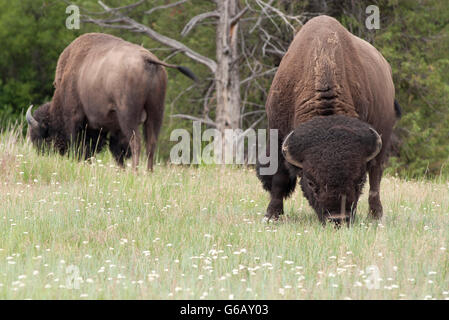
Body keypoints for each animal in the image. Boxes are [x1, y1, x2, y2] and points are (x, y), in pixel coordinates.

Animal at [26, 33, 196, 170]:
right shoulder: (112, 128)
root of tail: (148, 60)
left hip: (129, 116)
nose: (41, 154)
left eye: (40, 136)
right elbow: (116, 150)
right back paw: (148, 173)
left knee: (136, 143)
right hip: (156, 113)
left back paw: (135, 173)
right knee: (151, 144)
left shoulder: (75, 119)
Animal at [258, 15, 400, 225]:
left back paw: (375, 215)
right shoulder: (277, 135)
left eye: (359, 181)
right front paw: (272, 215)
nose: (338, 219)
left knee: (376, 176)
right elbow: (279, 177)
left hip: (384, 139)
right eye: (310, 182)